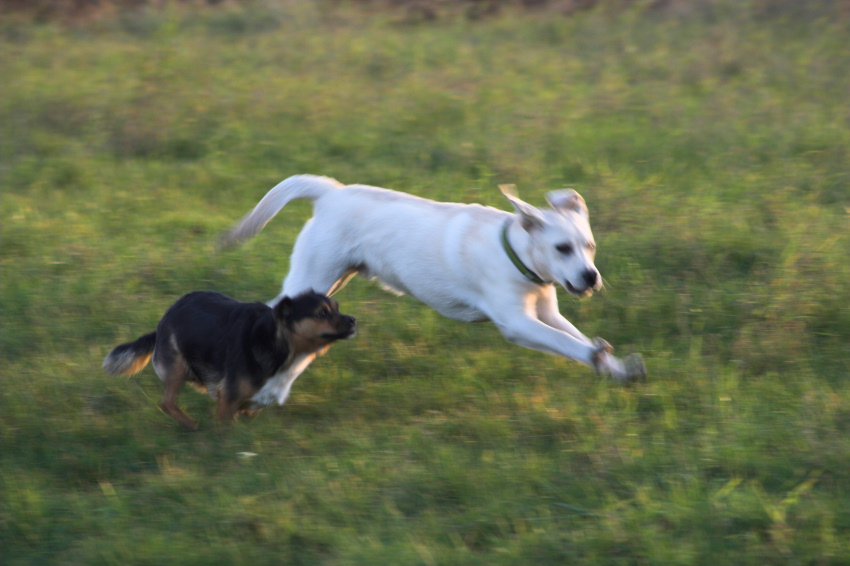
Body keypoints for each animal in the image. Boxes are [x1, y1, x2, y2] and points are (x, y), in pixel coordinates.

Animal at [102, 292, 354, 430]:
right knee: (168, 402)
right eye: (321, 313)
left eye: (337, 308)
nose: (353, 320)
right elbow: (226, 430)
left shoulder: (254, 403)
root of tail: (163, 319)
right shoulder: (227, 400)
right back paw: (192, 425)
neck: (281, 346)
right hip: (177, 366)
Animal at [225, 175, 644, 406]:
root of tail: (332, 193)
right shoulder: (518, 324)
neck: (518, 257)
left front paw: (616, 367)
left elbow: (574, 335)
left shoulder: (547, 313)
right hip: (313, 276)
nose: (590, 277)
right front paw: (596, 356)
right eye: (562, 248)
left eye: (589, 245)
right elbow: (568, 343)